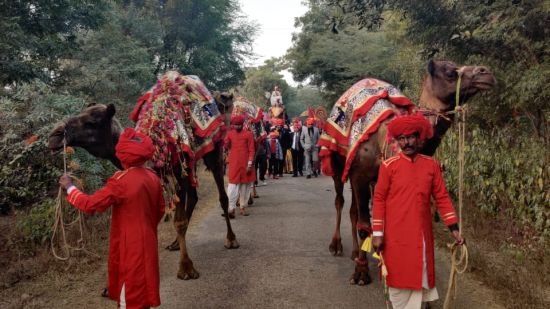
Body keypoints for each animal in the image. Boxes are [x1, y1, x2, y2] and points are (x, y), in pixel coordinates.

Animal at [48, 71, 249, 278]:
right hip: (191, 163)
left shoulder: (178, 169)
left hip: (214, 151)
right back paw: (176, 243)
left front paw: (186, 267)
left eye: (92, 123)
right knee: (193, 197)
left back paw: (231, 239)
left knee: (222, 196)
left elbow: (179, 220)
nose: (54, 135)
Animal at [320, 60, 496, 284]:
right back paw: (336, 246)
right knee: (340, 201)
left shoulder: (375, 179)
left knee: (353, 211)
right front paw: (361, 274)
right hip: (338, 166)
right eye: (450, 72)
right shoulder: (360, 175)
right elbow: (364, 226)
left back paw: (354, 253)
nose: (486, 73)